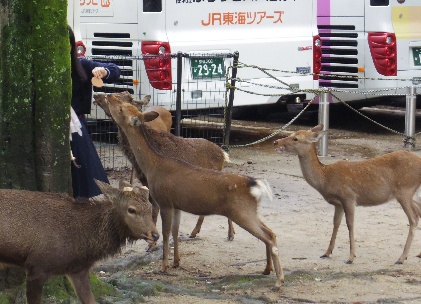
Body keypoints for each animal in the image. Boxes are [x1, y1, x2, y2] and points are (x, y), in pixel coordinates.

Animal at [0, 179, 159, 304]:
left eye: (150, 207)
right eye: (131, 210)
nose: (155, 235)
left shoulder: (78, 269)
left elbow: (90, 300)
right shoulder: (36, 266)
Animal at [104, 94, 282, 290]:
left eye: (122, 107)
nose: (109, 96)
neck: (153, 167)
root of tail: (255, 185)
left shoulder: (164, 201)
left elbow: (166, 233)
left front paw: (163, 266)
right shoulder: (177, 205)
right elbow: (175, 232)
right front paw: (176, 262)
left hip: (241, 211)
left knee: (268, 236)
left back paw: (279, 280)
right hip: (249, 210)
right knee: (271, 232)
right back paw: (266, 269)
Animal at [272, 123, 420, 264]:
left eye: (295, 138)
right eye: (291, 134)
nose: (276, 142)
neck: (326, 179)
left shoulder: (348, 197)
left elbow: (350, 224)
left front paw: (351, 257)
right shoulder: (338, 204)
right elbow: (336, 223)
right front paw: (327, 253)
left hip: (404, 191)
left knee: (413, 219)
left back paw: (401, 258)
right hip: (413, 193)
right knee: (419, 213)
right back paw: (417, 254)